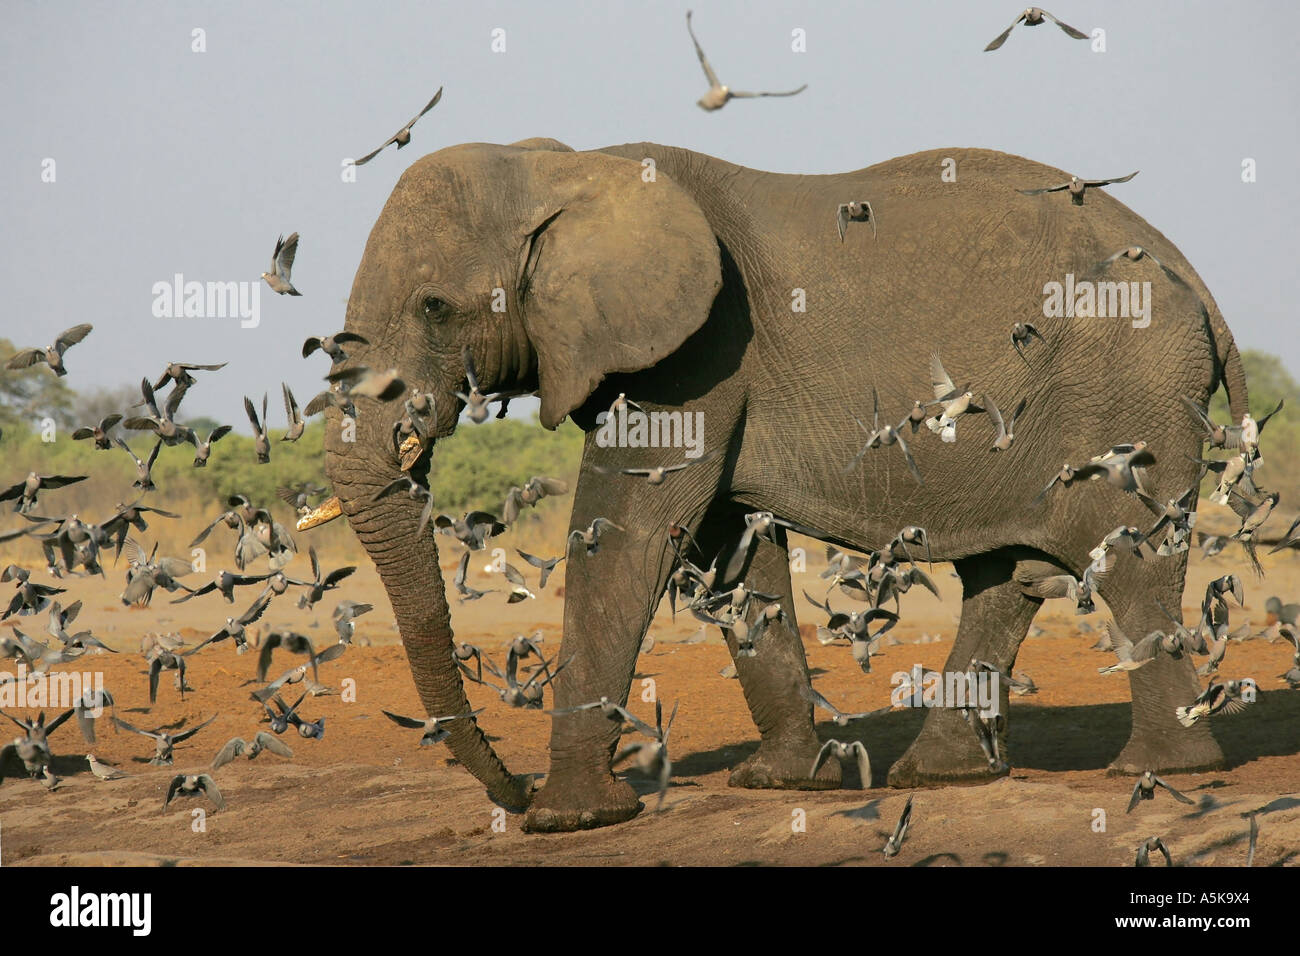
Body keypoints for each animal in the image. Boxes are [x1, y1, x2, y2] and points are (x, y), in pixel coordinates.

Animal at [322, 134, 1248, 832]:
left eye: (435, 308)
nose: (511, 792)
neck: (559, 166)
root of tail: (1196, 280)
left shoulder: (695, 350)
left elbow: (624, 540)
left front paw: (571, 819)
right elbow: (728, 548)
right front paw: (781, 784)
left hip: (1127, 395)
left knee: (1121, 559)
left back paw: (1160, 767)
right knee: (1006, 575)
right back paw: (940, 775)